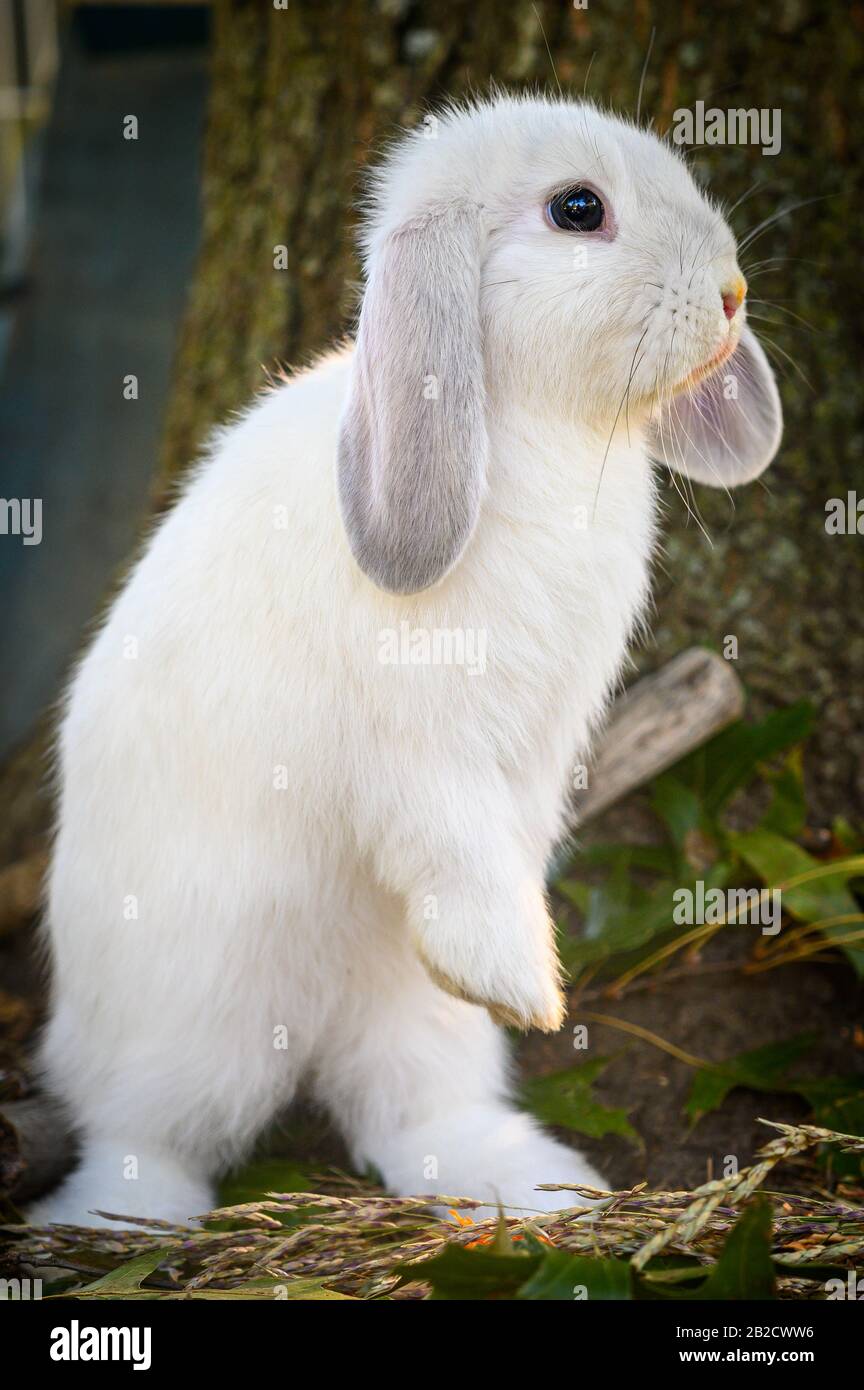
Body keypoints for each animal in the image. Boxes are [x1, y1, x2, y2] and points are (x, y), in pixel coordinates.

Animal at [30, 95, 783, 1228]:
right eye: (578, 209)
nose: (734, 295)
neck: (537, 429)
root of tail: (312, 1029)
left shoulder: (529, 751)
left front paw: (522, 987)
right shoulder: (416, 748)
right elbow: (449, 836)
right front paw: (526, 986)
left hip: (413, 1022)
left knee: (410, 1115)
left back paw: (531, 1178)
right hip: (188, 1022)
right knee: (144, 1135)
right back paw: (116, 1220)